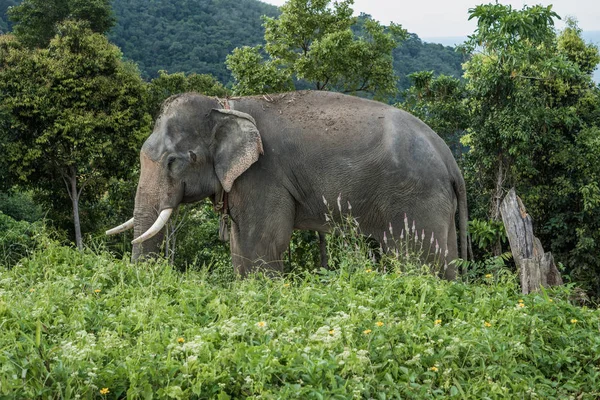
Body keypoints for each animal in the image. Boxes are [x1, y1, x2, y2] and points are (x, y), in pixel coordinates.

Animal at [105, 90, 466, 278]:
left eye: (176, 161)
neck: (226, 105)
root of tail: (448, 156)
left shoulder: (264, 175)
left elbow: (262, 242)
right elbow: (239, 245)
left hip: (415, 198)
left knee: (414, 259)